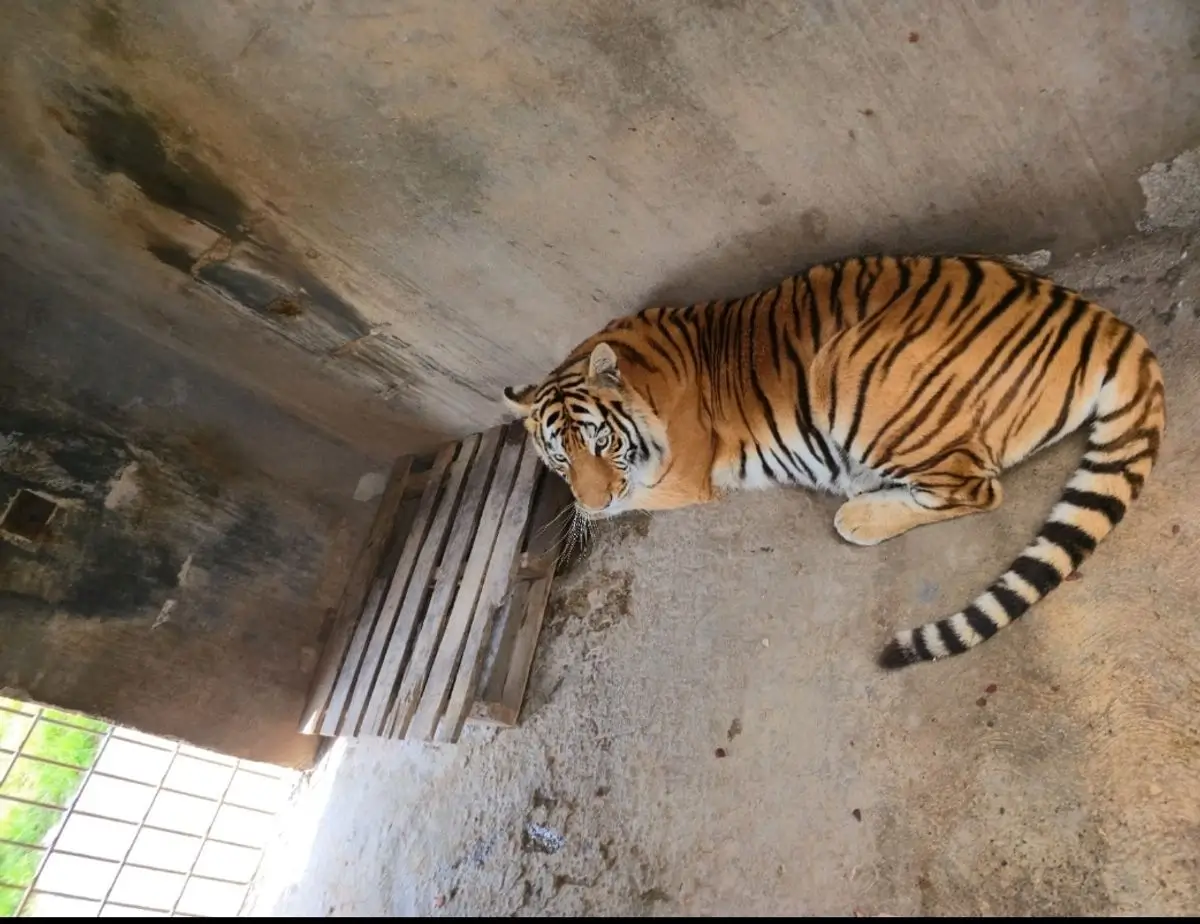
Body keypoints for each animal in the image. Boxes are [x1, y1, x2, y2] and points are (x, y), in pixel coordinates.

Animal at [502, 254, 1166, 670]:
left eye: (601, 443)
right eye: (559, 456)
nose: (594, 500)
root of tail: (1103, 322)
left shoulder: (679, 477)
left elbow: (628, 499)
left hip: (851, 371)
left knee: (974, 489)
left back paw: (861, 513)